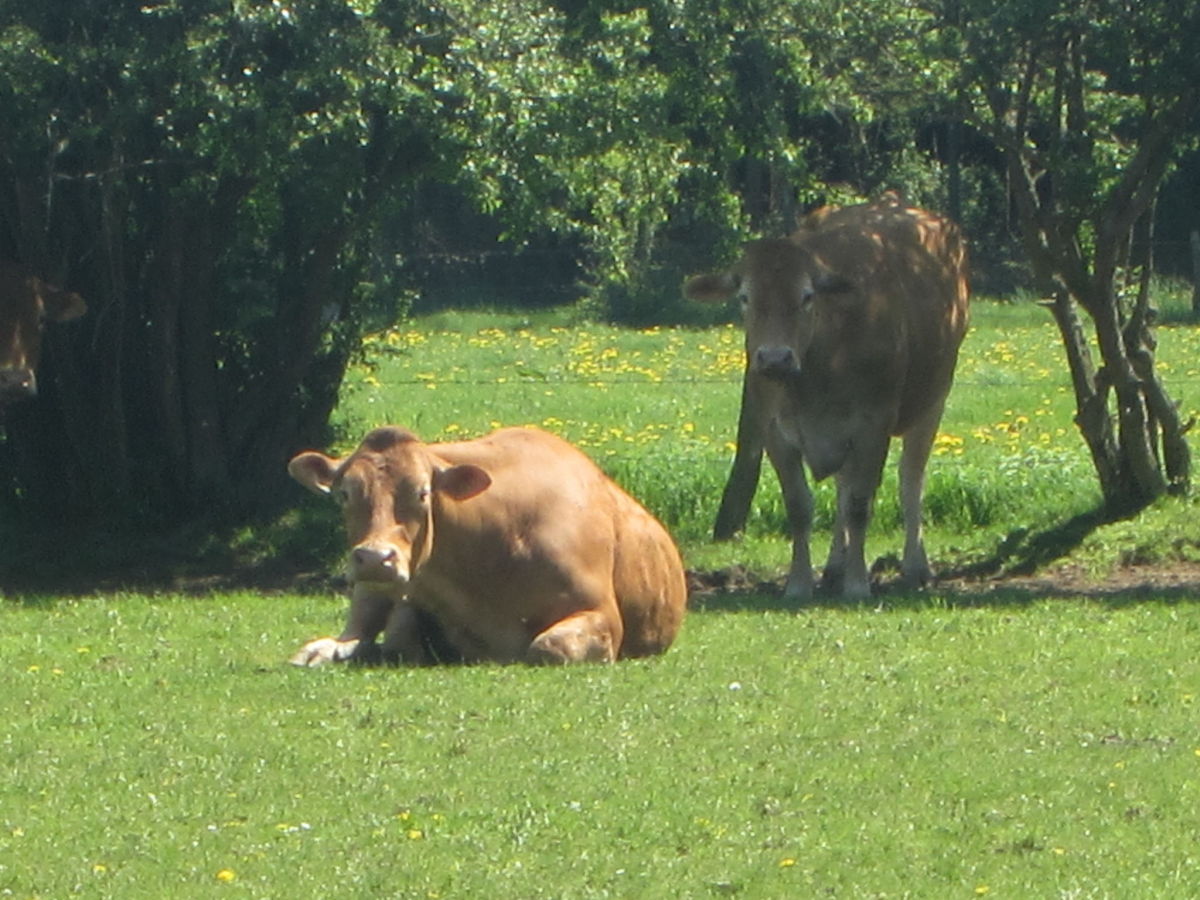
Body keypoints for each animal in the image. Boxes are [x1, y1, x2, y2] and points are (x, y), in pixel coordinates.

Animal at [284, 427, 691, 667]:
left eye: (422, 493)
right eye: (344, 494)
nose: (374, 558)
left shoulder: (601, 613)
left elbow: (547, 647)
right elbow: (398, 635)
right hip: (370, 588)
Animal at [686, 200, 964, 602]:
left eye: (807, 296)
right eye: (745, 297)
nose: (774, 359)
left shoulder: (873, 423)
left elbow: (861, 504)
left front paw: (858, 584)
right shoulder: (774, 430)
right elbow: (801, 506)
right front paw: (800, 583)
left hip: (932, 401)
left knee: (911, 479)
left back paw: (915, 565)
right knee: (844, 486)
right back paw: (835, 566)